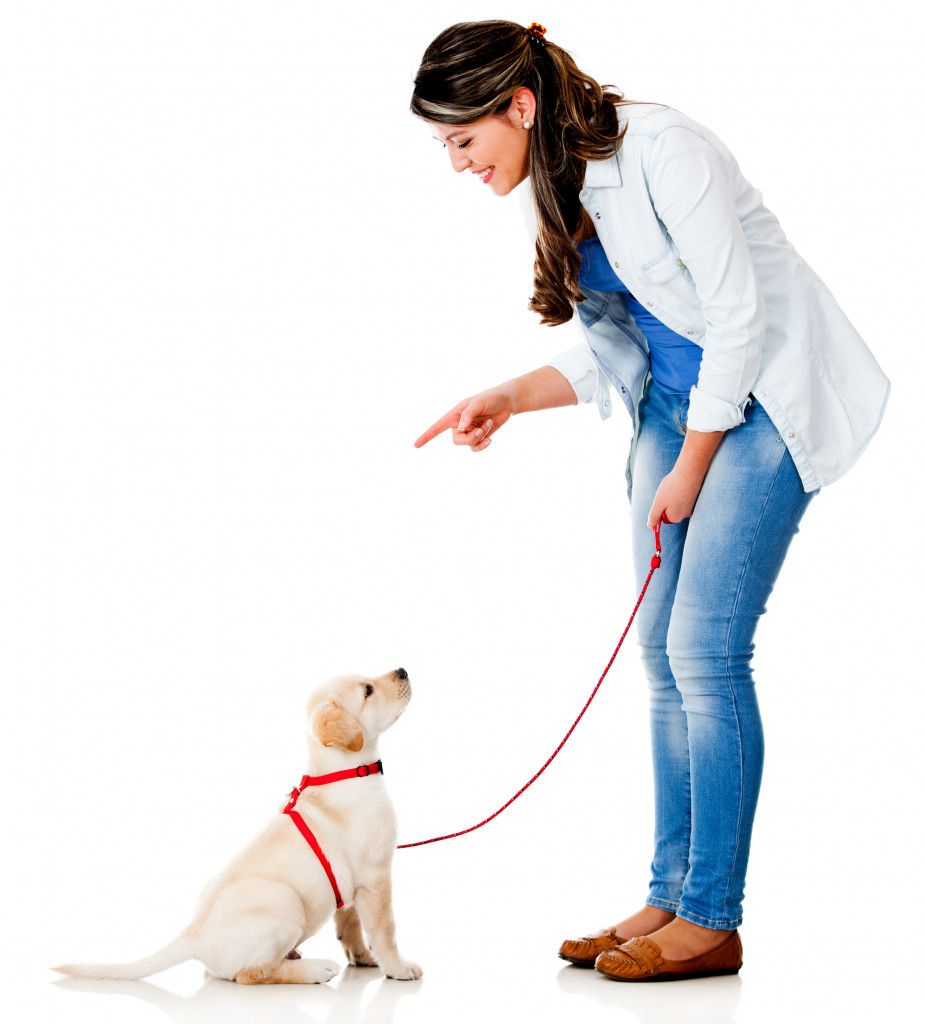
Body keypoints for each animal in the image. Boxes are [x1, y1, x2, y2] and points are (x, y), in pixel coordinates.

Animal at [52, 671, 422, 983]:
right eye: (367, 690)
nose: (403, 670)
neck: (343, 771)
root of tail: (193, 936)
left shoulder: (350, 886)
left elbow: (351, 926)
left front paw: (364, 959)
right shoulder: (376, 877)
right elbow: (385, 930)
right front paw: (398, 968)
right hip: (284, 900)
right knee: (252, 974)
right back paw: (313, 970)